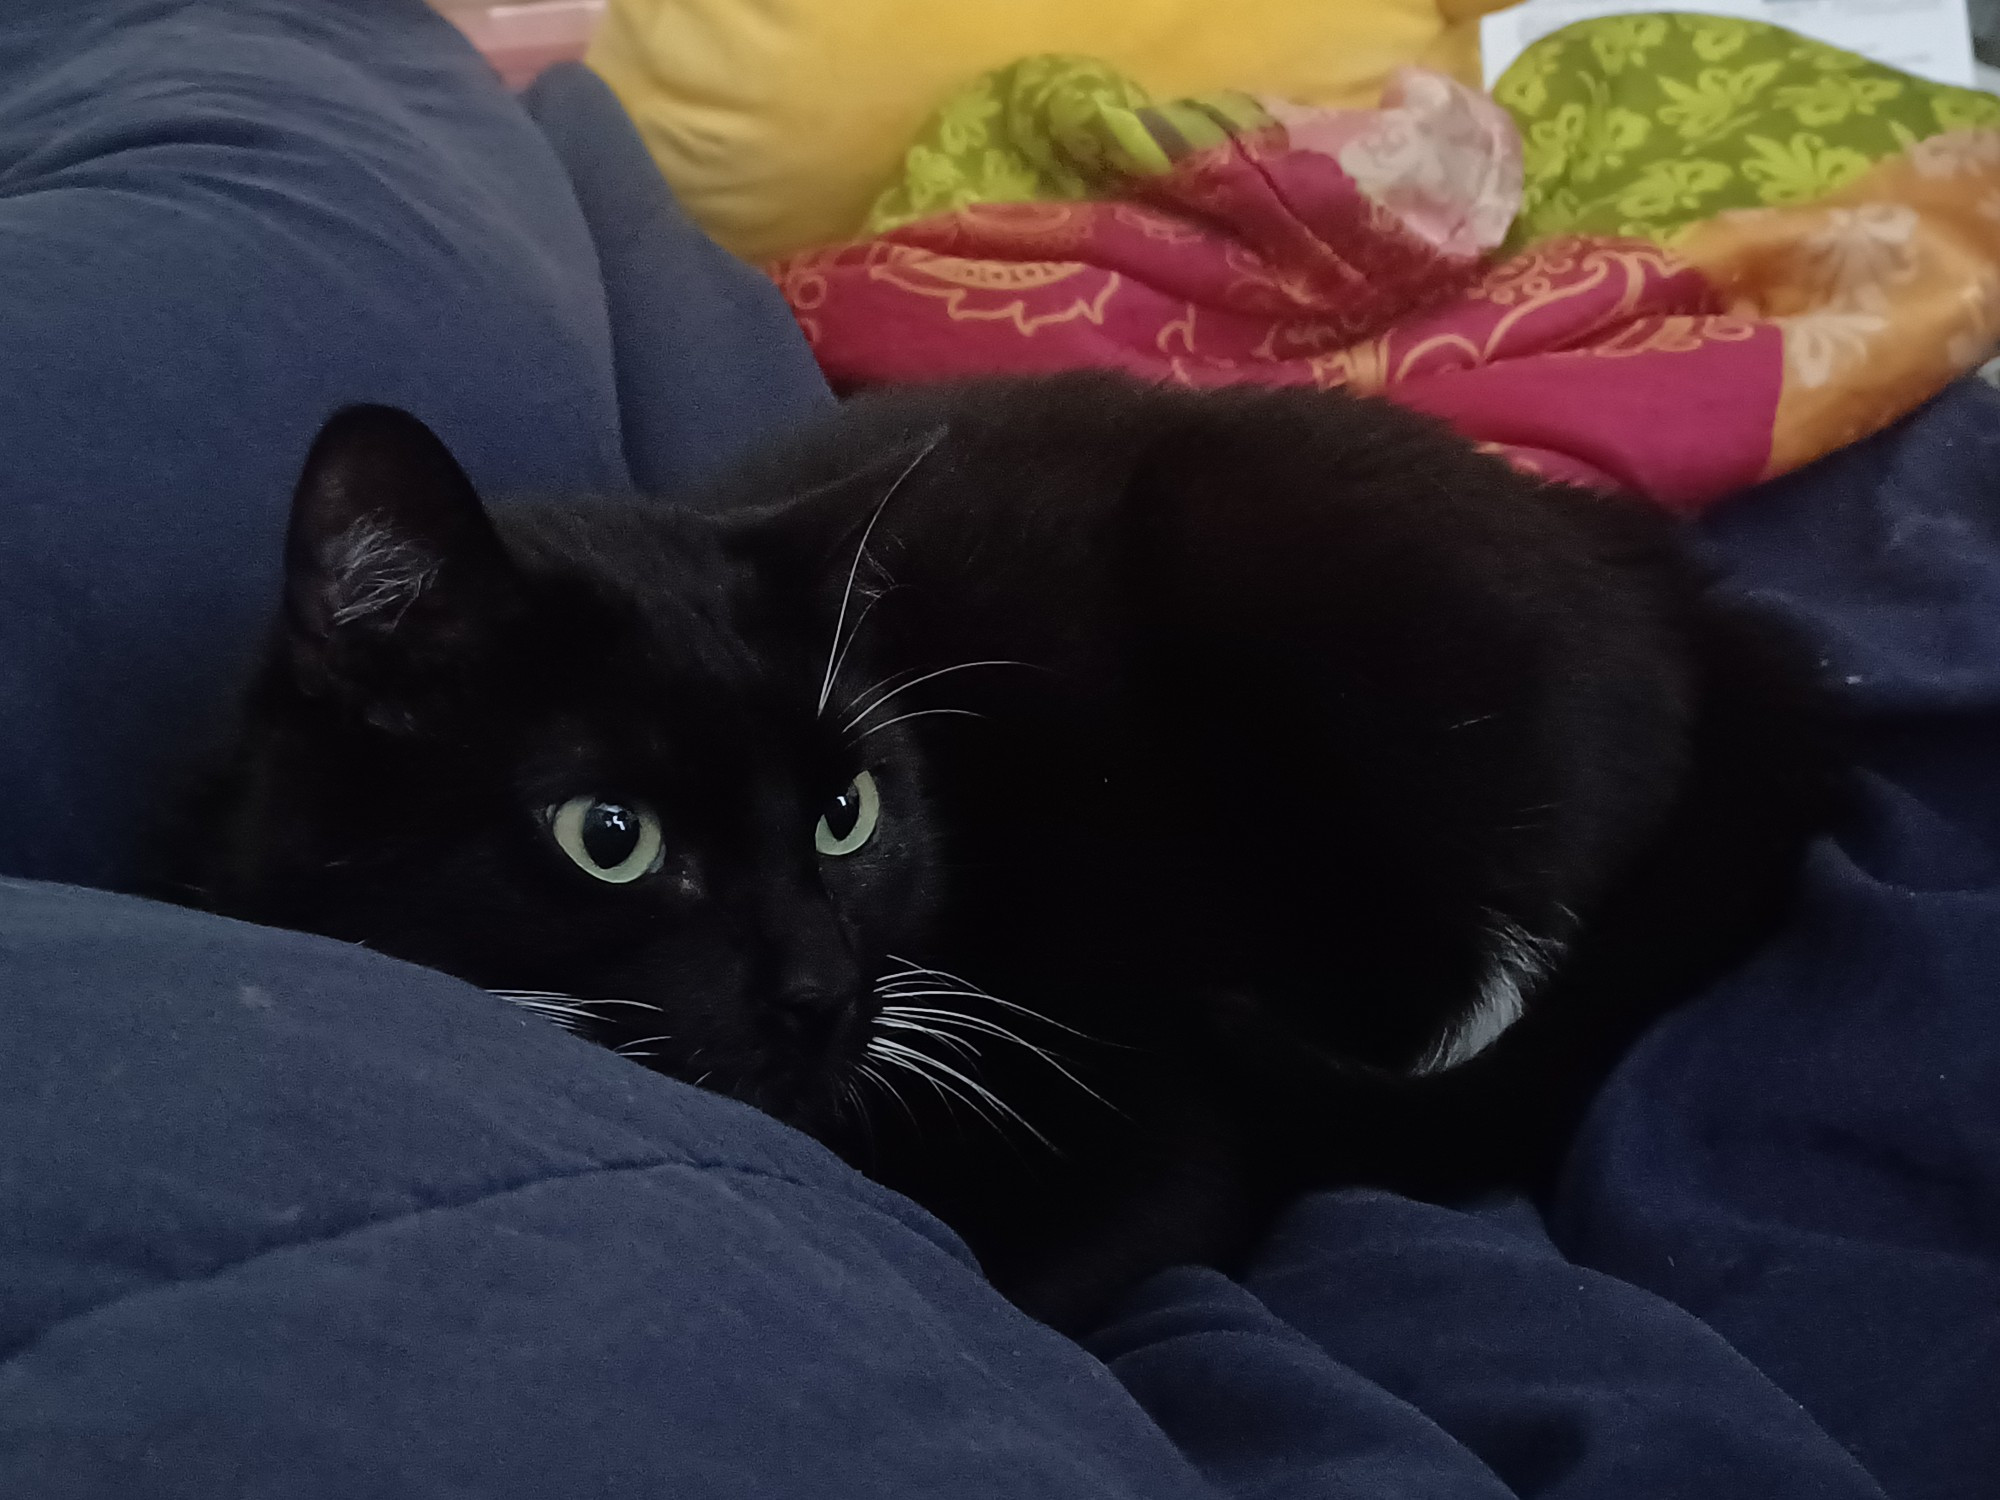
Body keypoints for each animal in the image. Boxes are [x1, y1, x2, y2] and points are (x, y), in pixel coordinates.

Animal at [180, 378, 1832, 1336]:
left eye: (848, 814)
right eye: (610, 837)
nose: (821, 992)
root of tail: (1663, 575)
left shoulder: (1148, 1115)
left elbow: (1028, 1272)